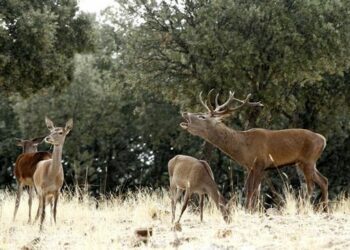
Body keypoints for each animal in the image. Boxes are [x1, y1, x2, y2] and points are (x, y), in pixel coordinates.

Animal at [180, 90, 328, 211]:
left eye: (202, 117)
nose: (185, 112)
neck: (243, 147)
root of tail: (323, 139)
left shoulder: (260, 164)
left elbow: (253, 191)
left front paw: (250, 211)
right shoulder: (250, 167)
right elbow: (249, 189)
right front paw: (249, 210)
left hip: (309, 159)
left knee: (311, 185)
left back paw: (305, 209)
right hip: (305, 163)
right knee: (323, 180)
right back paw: (325, 209)